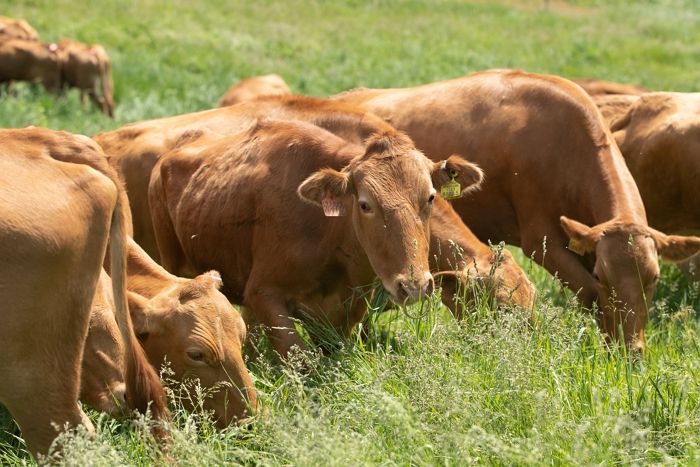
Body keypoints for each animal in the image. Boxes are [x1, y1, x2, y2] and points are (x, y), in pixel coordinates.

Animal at [330, 69, 700, 352]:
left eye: (653, 279)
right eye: (602, 275)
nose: (633, 350)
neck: (563, 141)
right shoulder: (542, 243)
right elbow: (591, 296)